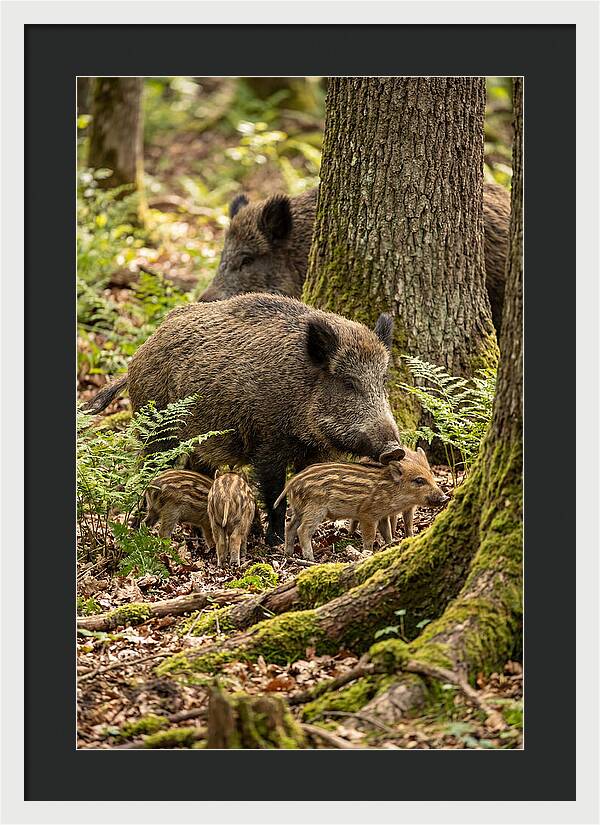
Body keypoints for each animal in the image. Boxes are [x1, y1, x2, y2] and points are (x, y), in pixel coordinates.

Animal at [83, 293, 402, 546]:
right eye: (348, 383)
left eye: (382, 380)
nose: (395, 449)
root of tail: (139, 354)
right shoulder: (267, 443)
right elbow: (274, 494)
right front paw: (274, 542)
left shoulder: (314, 452)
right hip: (159, 430)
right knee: (147, 470)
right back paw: (137, 528)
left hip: (200, 440)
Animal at [275, 447, 448, 561]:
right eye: (419, 480)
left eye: (431, 475)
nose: (445, 498)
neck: (391, 490)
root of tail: (292, 483)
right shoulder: (368, 515)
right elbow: (369, 536)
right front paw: (368, 552)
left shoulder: (382, 515)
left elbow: (386, 531)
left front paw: (390, 545)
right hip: (315, 509)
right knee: (303, 530)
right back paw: (310, 558)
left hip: (299, 509)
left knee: (289, 527)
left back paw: (288, 553)